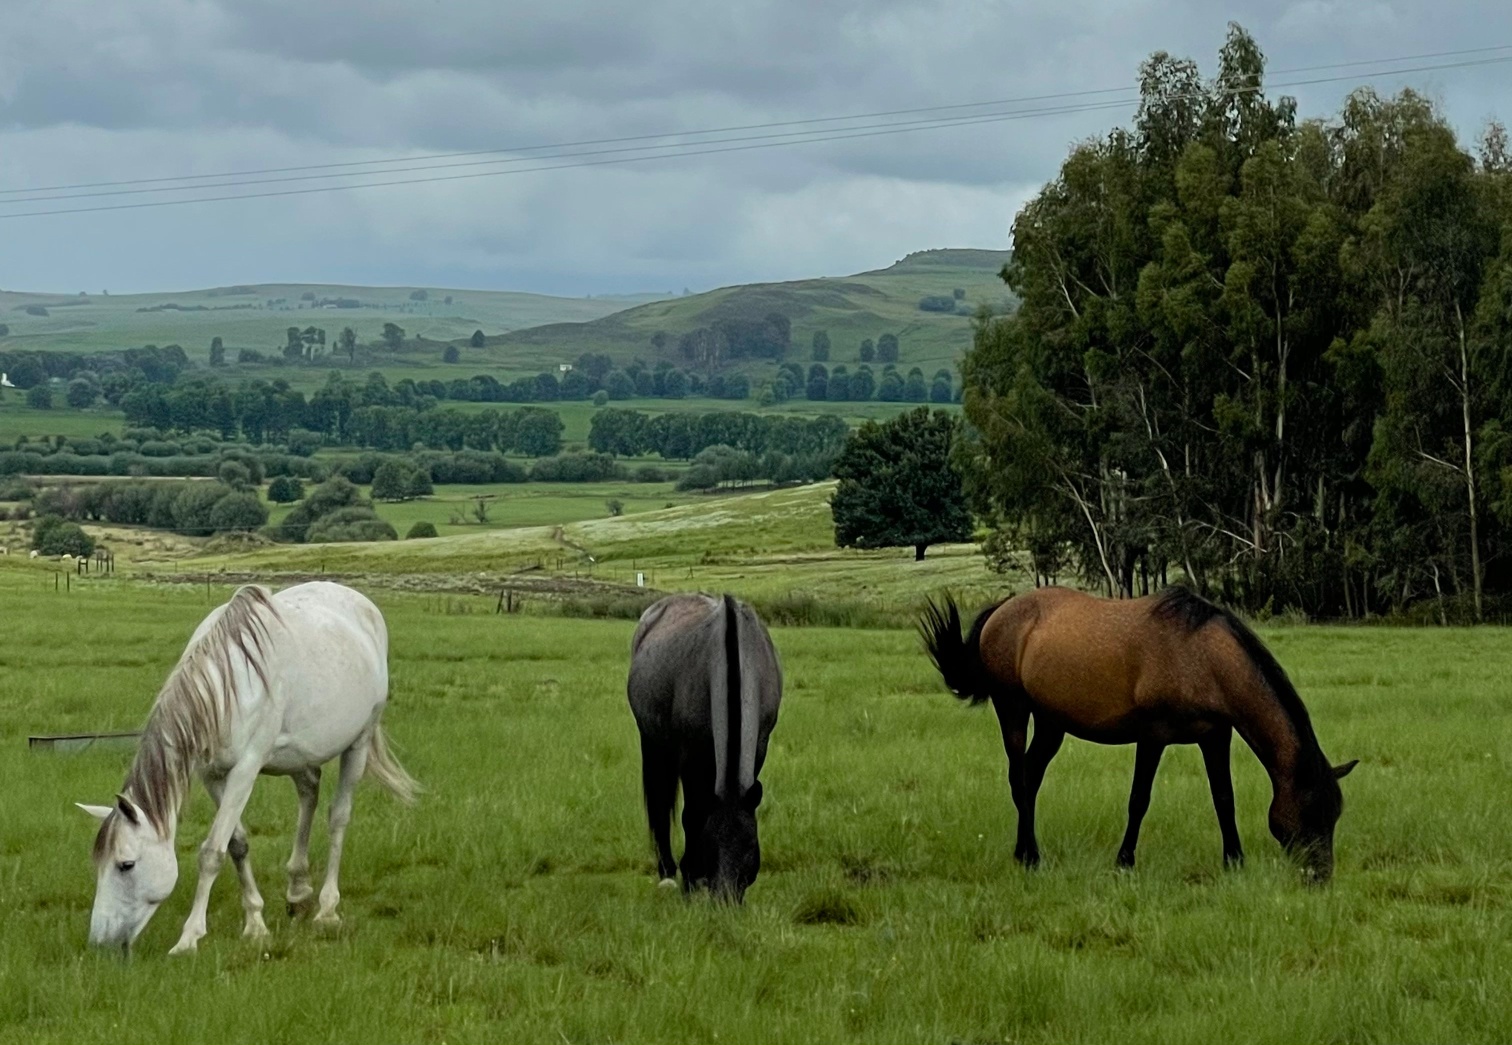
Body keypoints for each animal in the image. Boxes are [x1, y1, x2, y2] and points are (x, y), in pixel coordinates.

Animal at [77, 581, 419, 954]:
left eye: (126, 865)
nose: (101, 942)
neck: (226, 686)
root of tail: (363, 604)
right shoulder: (212, 774)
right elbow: (236, 844)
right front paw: (256, 923)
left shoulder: (246, 770)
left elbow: (212, 852)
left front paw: (189, 937)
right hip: (301, 755)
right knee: (309, 793)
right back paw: (298, 891)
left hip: (359, 742)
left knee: (338, 817)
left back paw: (327, 909)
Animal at [628, 593, 782, 903]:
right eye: (710, 850)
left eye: (749, 851)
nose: (725, 901)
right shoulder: (691, 756)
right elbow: (691, 815)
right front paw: (689, 877)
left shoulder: (760, 745)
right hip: (653, 742)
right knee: (660, 804)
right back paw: (667, 871)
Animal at [920, 586, 1357, 882]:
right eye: (1310, 811)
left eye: (1335, 814)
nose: (1320, 877)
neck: (1199, 656)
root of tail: (1002, 609)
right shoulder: (1153, 736)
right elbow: (1138, 800)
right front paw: (1124, 862)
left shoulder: (1215, 736)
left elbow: (1224, 799)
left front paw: (1234, 862)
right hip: (1012, 708)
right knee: (1019, 777)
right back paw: (1031, 857)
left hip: (1051, 723)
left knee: (1030, 775)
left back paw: (1021, 850)